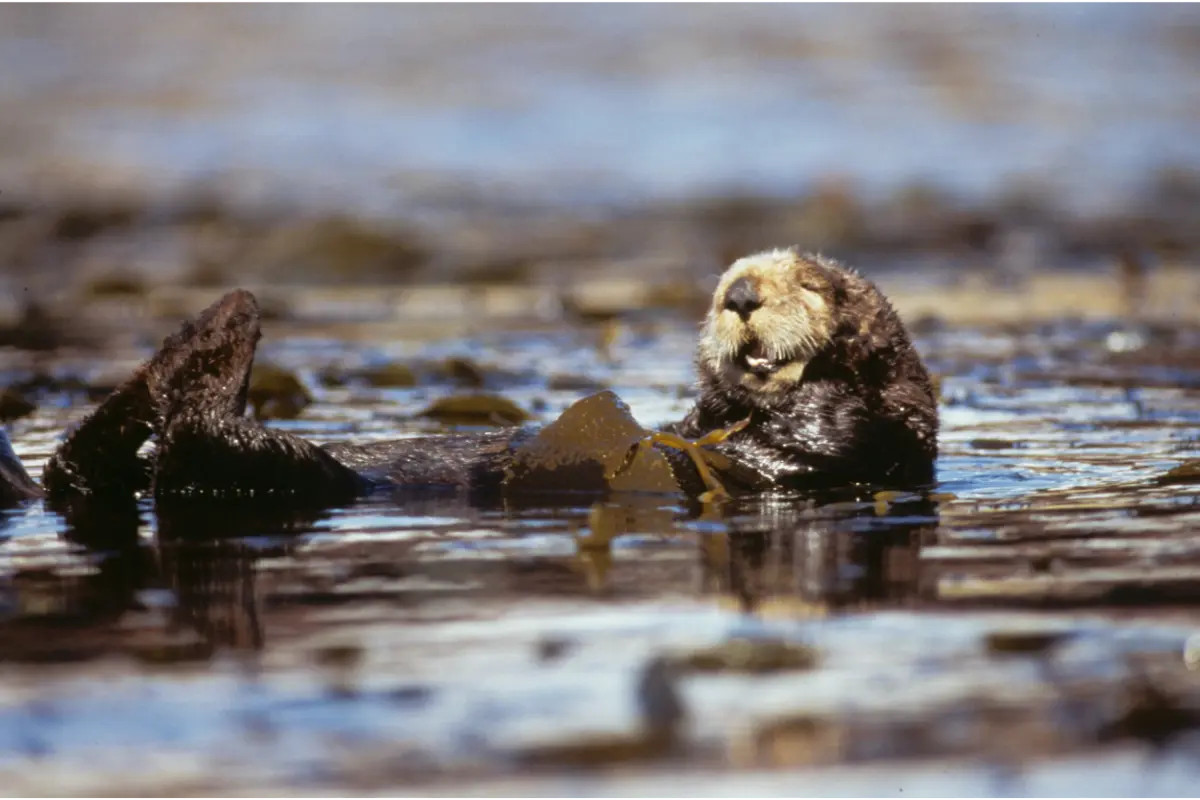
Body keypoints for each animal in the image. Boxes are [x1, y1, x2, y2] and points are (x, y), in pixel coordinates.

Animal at [0, 248, 937, 509]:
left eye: (809, 282)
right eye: (717, 291)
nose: (739, 295)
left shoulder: (859, 447)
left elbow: (815, 434)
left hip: (265, 472)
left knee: (181, 444)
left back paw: (210, 338)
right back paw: (209, 329)